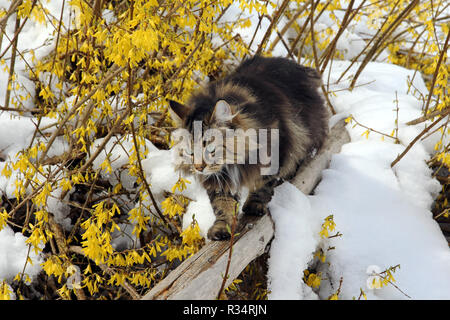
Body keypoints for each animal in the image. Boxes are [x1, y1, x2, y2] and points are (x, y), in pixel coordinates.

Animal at [168, 55, 326, 240]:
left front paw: (254, 205)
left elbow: (263, 184)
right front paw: (222, 227)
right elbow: (222, 204)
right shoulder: (220, 179)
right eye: (190, 152)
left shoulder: (277, 152)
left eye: (210, 149)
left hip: (305, 136)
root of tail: (296, 66)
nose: (199, 168)